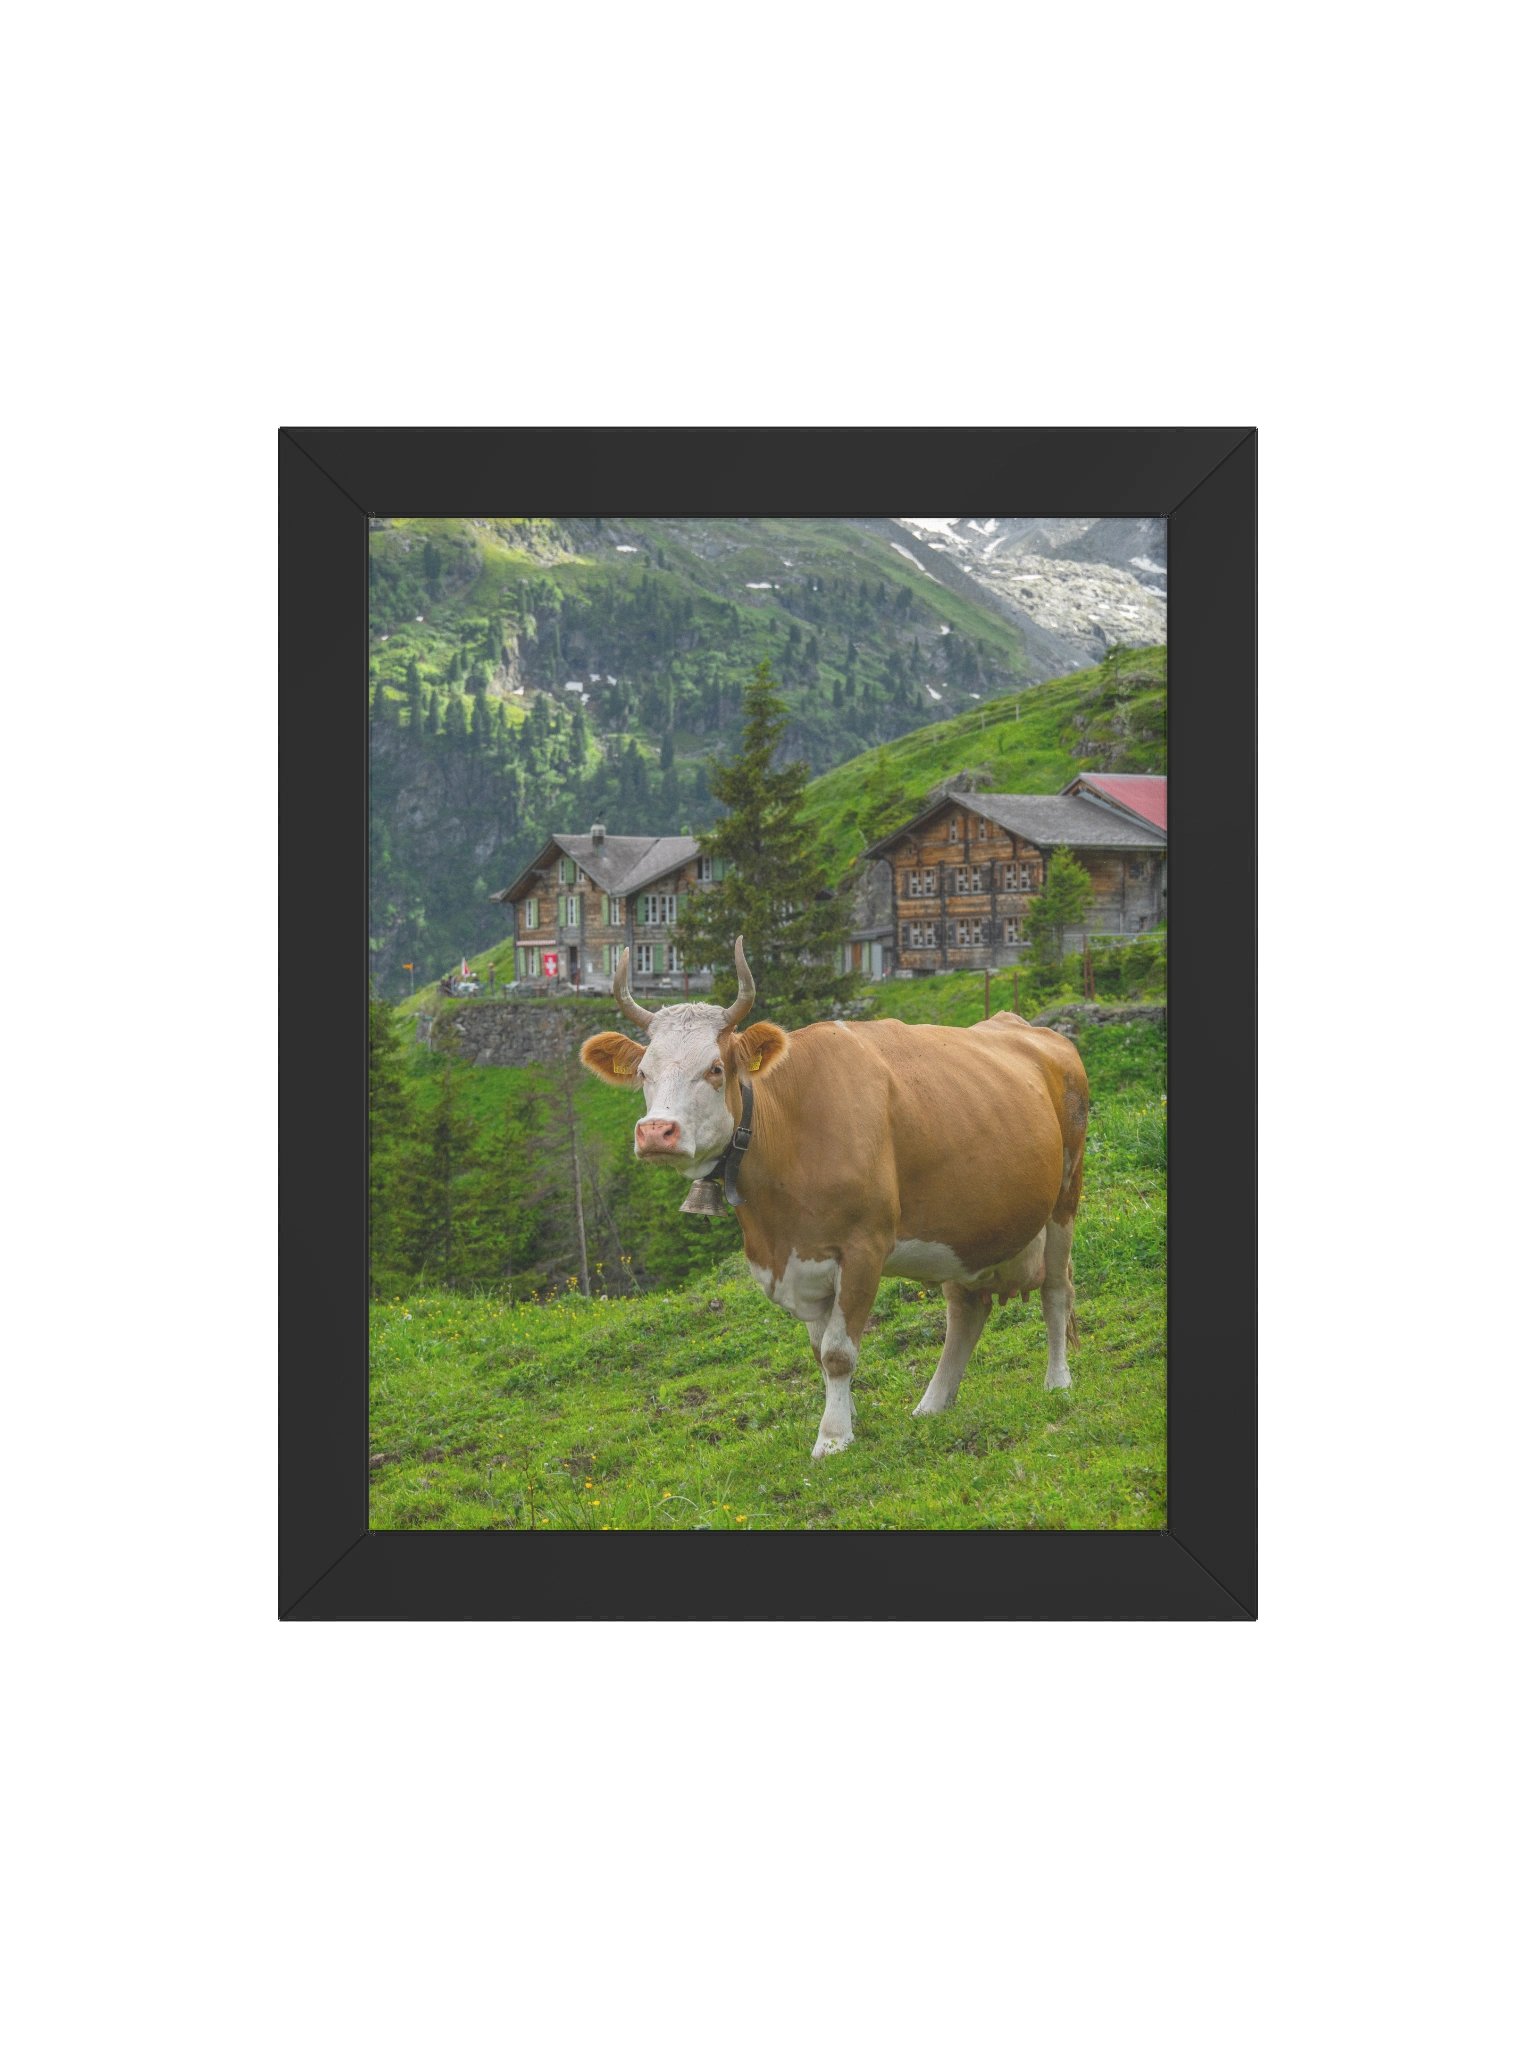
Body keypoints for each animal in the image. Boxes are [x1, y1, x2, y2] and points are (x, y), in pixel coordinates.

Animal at [580, 938, 1089, 1460]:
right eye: (644, 1072)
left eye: (715, 1068)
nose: (655, 1132)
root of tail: (1026, 1027)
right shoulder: (800, 1261)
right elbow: (818, 1351)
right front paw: (847, 1417)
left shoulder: (864, 1247)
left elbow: (838, 1352)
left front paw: (833, 1436)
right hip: (967, 1227)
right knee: (966, 1309)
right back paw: (934, 1403)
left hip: (1064, 1197)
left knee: (1056, 1288)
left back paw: (1057, 1382)